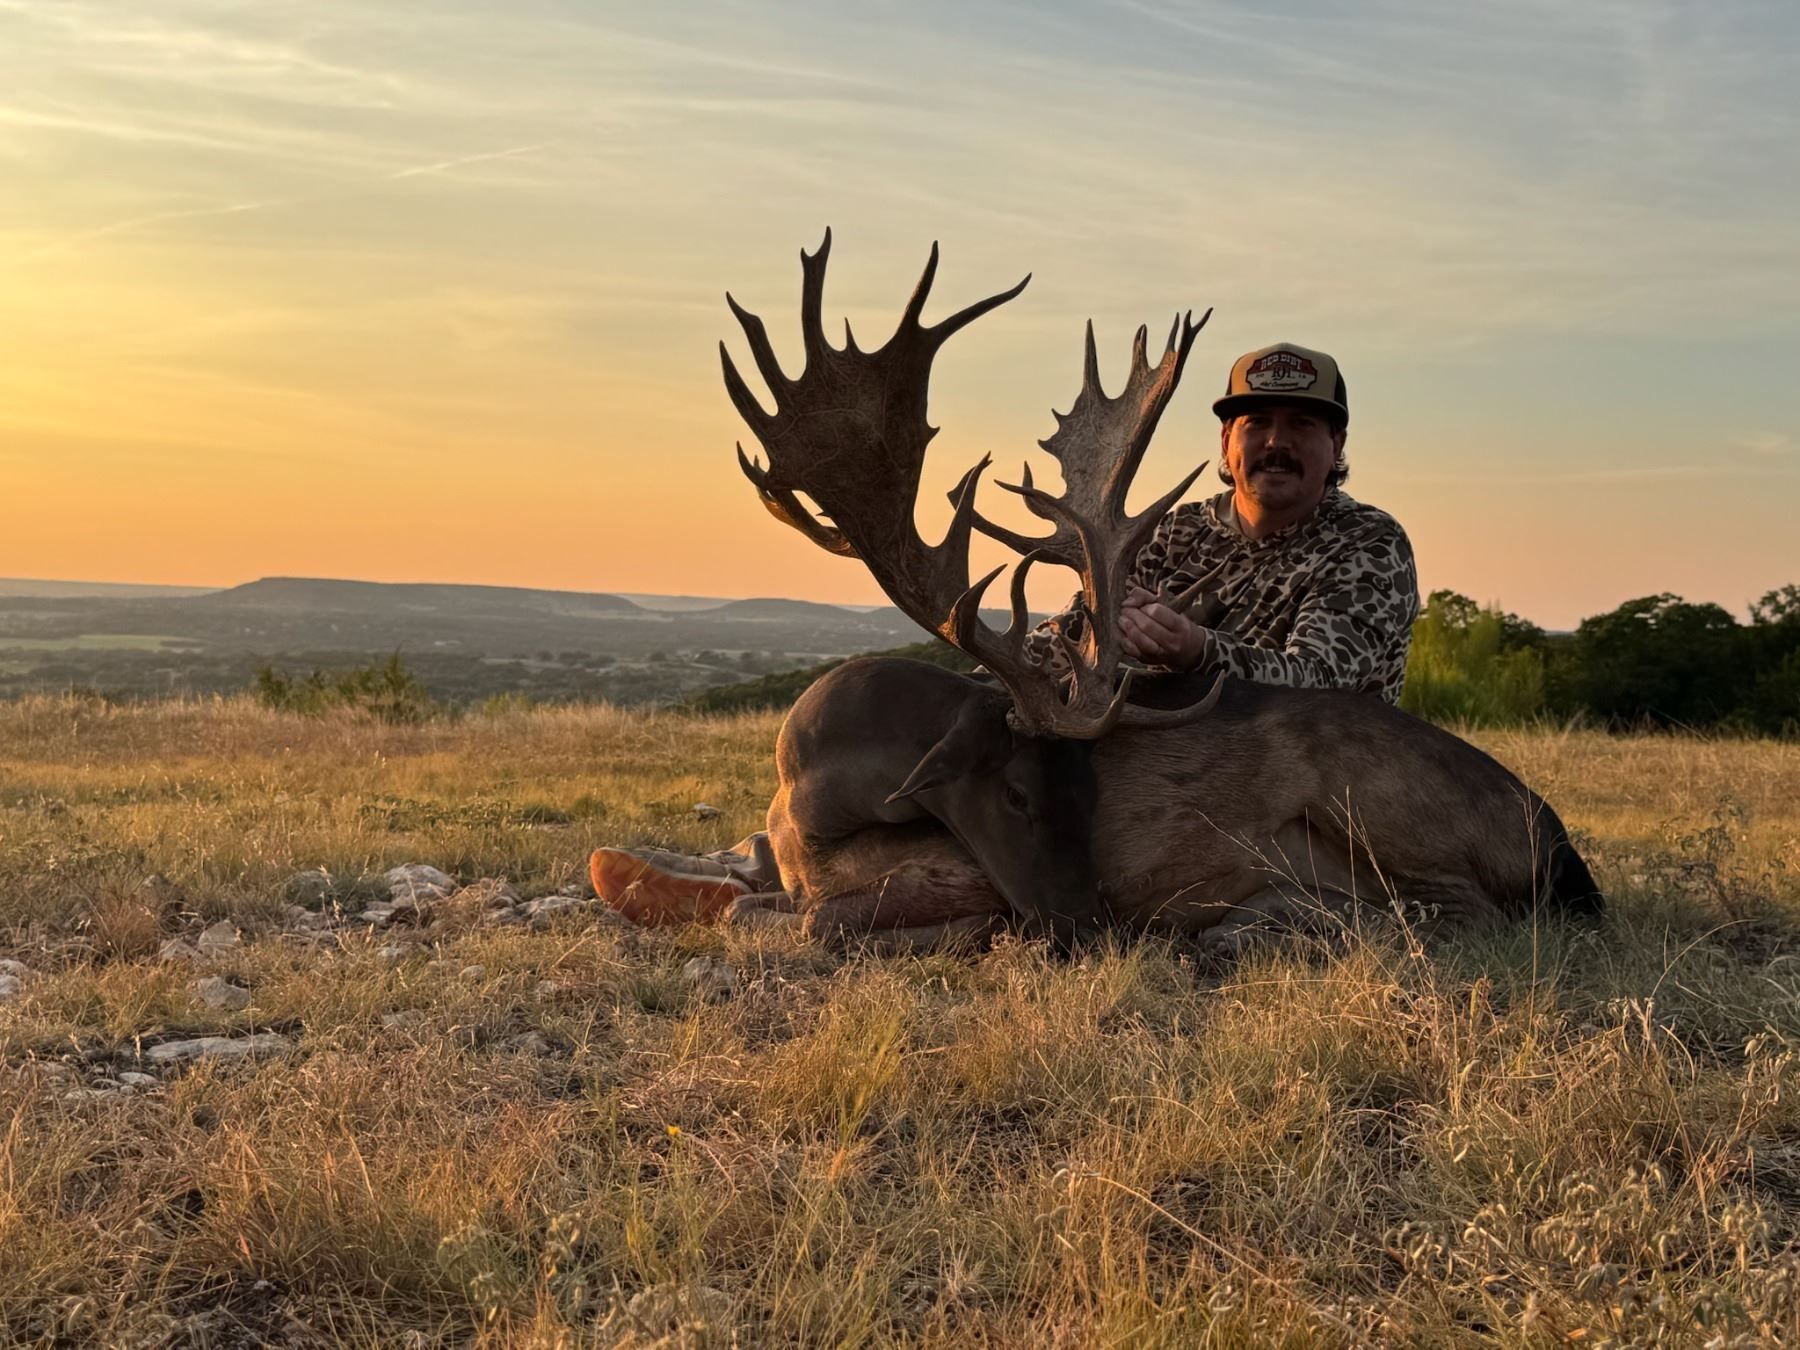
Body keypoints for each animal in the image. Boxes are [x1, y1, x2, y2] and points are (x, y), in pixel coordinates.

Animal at [715, 231, 1603, 956]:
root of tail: (1556, 838)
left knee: (1463, 913)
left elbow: (810, 920)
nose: (1089, 927)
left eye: (1083, 796)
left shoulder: (958, 873)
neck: (810, 805)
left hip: (1374, 801)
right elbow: (745, 900)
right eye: (1017, 794)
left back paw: (1252, 928)